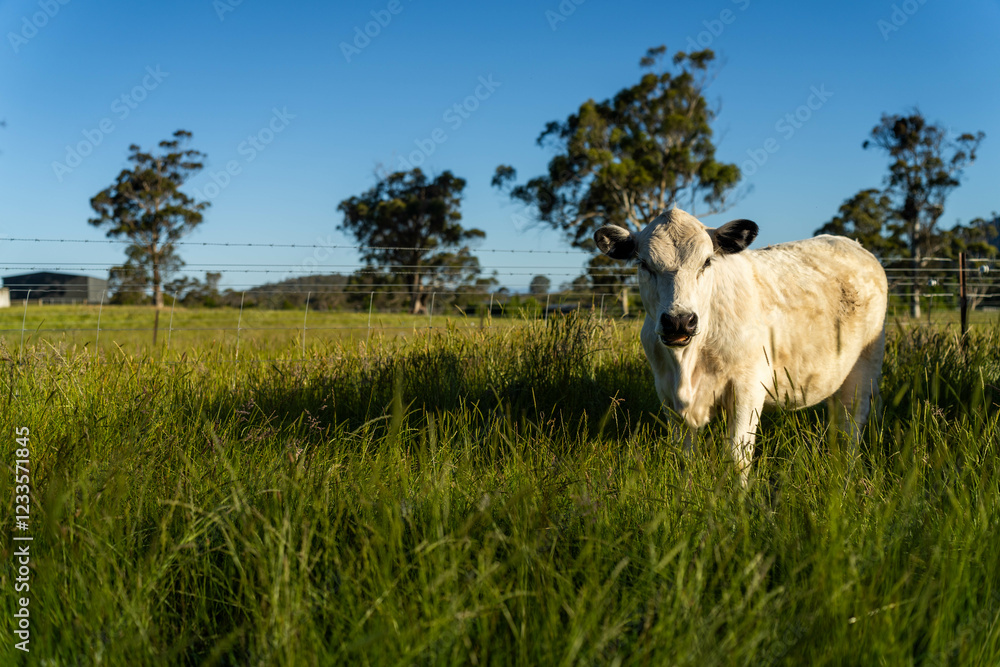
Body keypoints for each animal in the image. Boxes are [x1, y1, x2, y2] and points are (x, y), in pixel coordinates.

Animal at [594, 208, 887, 484]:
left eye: (707, 261)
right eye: (644, 263)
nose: (679, 321)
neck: (686, 364)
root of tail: (852, 244)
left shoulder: (749, 388)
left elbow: (737, 458)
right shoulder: (667, 394)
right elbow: (684, 456)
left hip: (865, 369)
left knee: (852, 424)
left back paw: (848, 474)